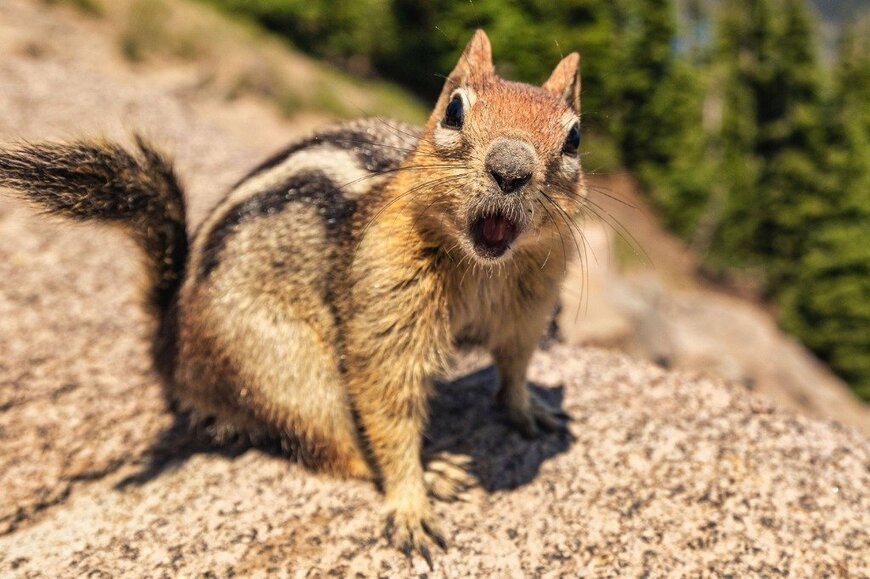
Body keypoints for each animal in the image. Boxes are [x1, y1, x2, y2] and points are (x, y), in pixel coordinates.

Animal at [1, 29, 584, 564]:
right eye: (454, 109)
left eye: (575, 137)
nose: (511, 169)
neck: (487, 269)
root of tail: (168, 344)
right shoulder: (386, 309)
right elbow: (388, 406)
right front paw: (411, 502)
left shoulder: (531, 307)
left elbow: (515, 363)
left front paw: (529, 409)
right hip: (289, 374)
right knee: (337, 447)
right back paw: (433, 465)